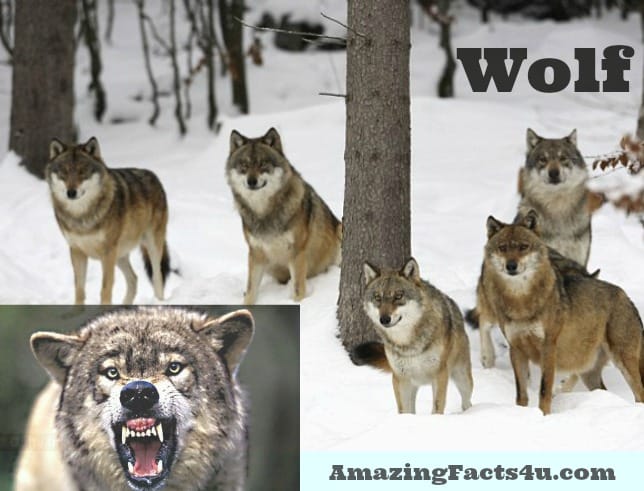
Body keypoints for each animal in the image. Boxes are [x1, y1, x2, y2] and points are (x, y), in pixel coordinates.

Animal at [46, 137, 170, 304]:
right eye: (64, 173)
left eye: (82, 172)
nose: (71, 193)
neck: (82, 216)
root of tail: (153, 176)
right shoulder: (76, 251)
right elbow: (79, 290)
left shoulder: (107, 252)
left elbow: (105, 289)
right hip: (119, 255)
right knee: (134, 279)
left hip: (151, 247)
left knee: (158, 276)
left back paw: (159, 302)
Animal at [226, 127, 342, 304]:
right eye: (244, 165)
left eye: (262, 163)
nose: (251, 181)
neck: (264, 212)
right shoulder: (256, 253)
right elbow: (251, 290)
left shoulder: (296, 252)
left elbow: (298, 288)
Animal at [351, 258, 473, 414]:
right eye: (378, 298)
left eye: (398, 296)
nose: (384, 319)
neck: (408, 343)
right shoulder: (400, 378)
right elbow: (405, 411)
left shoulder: (440, 374)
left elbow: (437, 408)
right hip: (413, 384)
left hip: (462, 378)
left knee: (467, 401)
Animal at [476, 210, 644, 414]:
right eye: (502, 248)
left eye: (523, 247)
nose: (511, 266)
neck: (521, 301)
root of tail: (626, 298)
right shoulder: (516, 349)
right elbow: (521, 394)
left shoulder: (548, 348)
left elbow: (544, 390)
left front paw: (543, 415)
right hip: (588, 371)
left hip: (622, 362)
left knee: (640, 393)